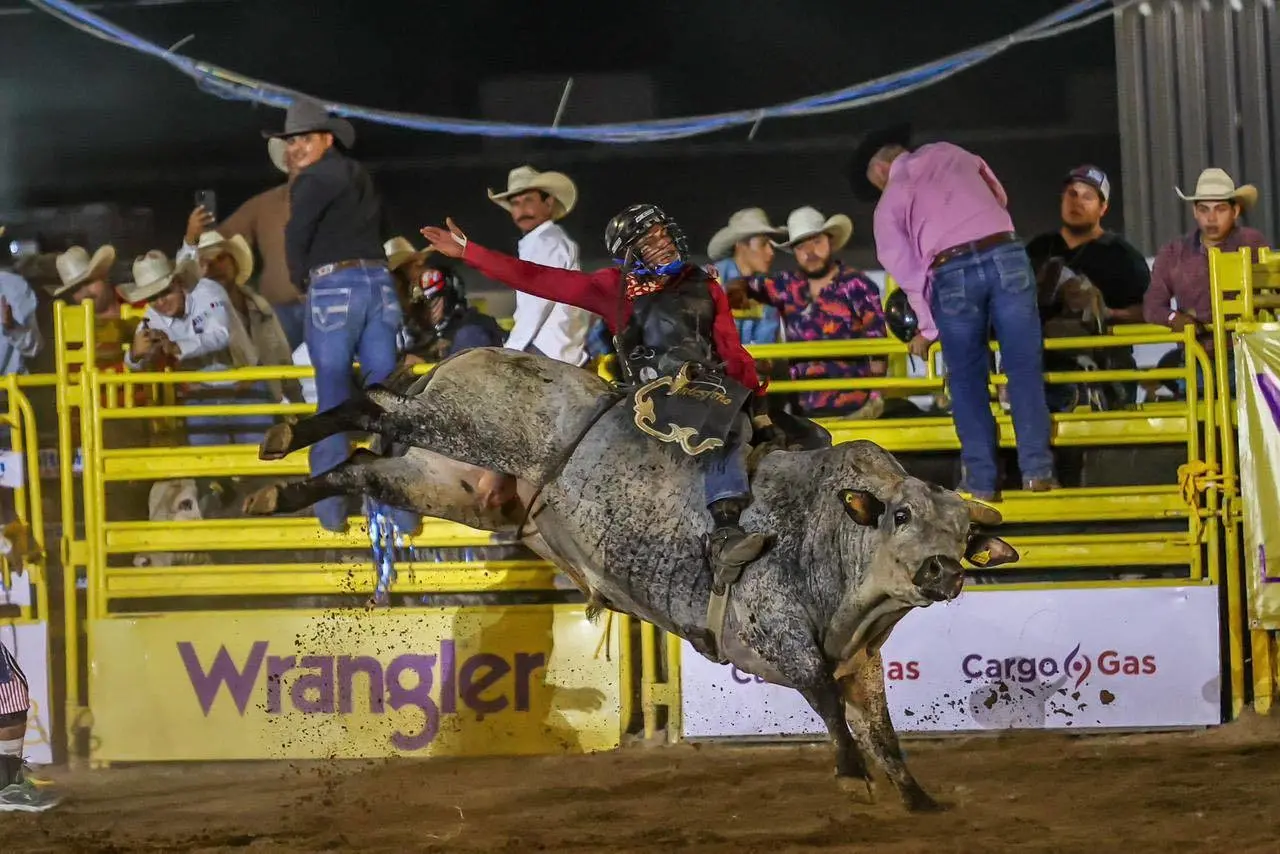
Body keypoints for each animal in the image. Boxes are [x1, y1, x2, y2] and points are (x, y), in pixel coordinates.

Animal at [244, 345, 1013, 809]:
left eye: (964, 535)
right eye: (902, 514)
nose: (943, 570)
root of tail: (478, 352)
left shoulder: (862, 659)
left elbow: (881, 727)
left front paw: (917, 799)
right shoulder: (780, 634)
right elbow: (823, 697)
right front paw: (853, 778)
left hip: (450, 482)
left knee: (361, 464)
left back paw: (276, 491)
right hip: (456, 427)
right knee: (377, 402)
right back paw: (282, 440)